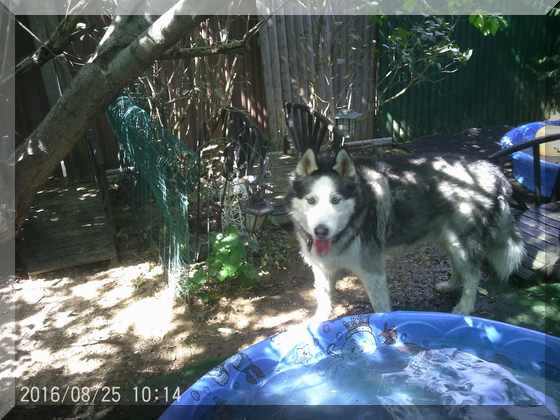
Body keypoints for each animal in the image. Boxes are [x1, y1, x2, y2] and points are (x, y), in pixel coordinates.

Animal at [284, 148, 524, 318]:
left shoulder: (372, 268)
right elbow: (324, 300)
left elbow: (379, 305)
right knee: (459, 267)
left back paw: (464, 307)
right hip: (446, 239)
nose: (321, 231)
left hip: (462, 242)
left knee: (473, 275)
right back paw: (450, 285)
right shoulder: (322, 267)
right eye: (311, 200)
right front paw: (318, 324)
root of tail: (495, 171)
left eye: (335, 200)